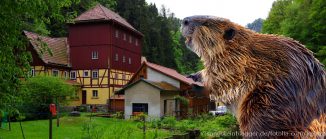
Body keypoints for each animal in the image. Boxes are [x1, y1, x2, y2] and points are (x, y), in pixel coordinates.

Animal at [182, 15, 324, 138]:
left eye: (206, 23)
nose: (184, 21)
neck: (238, 49)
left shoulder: (237, 64)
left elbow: (222, 80)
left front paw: (195, 85)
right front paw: (191, 76)